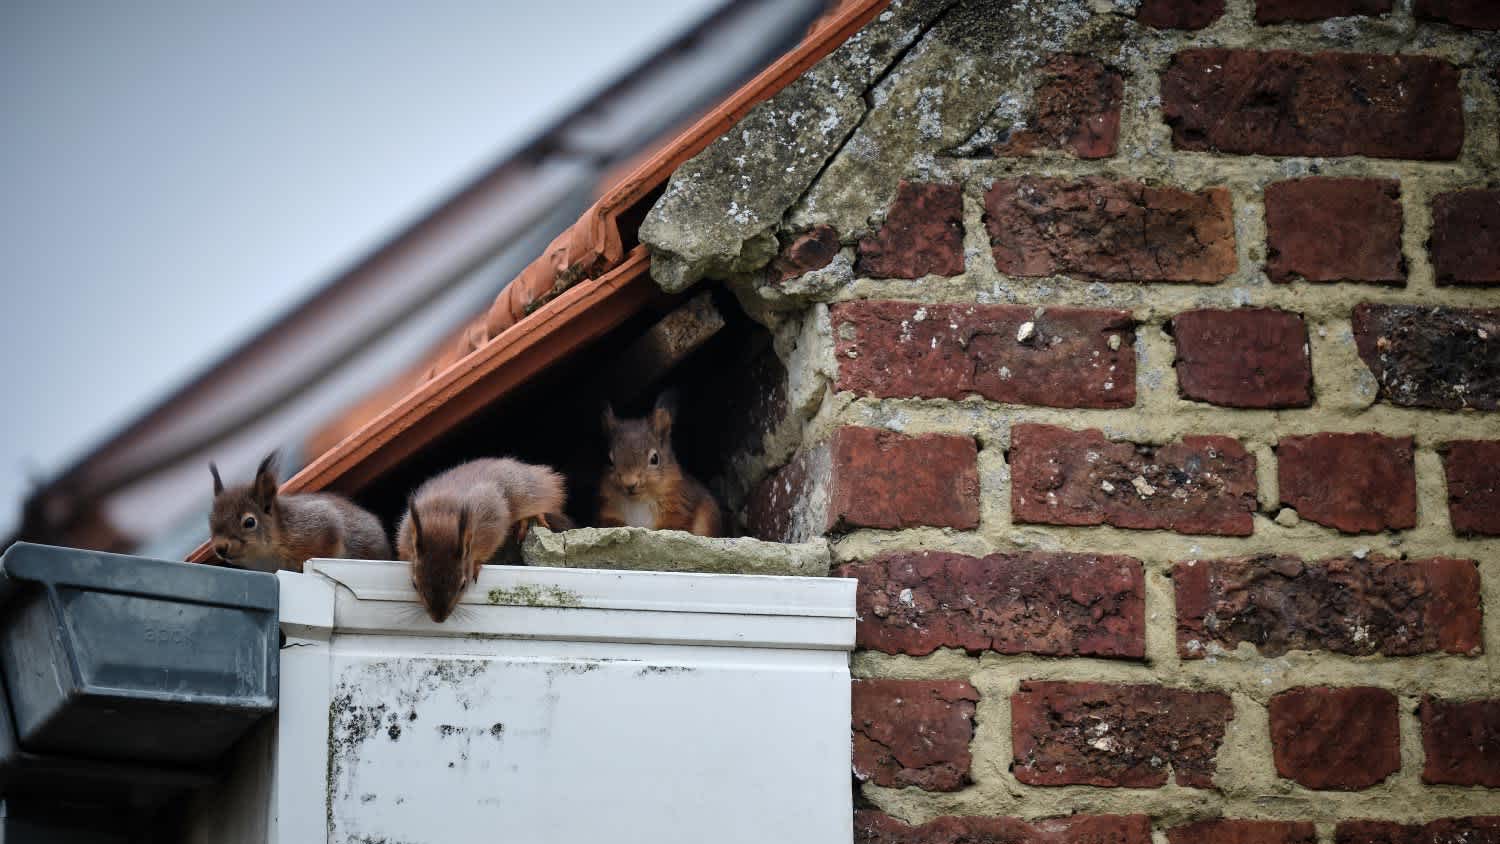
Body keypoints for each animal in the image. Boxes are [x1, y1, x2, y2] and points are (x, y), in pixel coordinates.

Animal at [396, 458, 566, 623]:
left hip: (528, 493)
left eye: (463, 585)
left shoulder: (491, 525)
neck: (443, 518)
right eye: (414, 584)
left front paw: (477, 564)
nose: (438, 619)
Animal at [598, 391, 723, 537]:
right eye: (609, 460)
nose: (629, 484)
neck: (639, 500)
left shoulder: (679, 506)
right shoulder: (609, 508)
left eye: (654, 459)